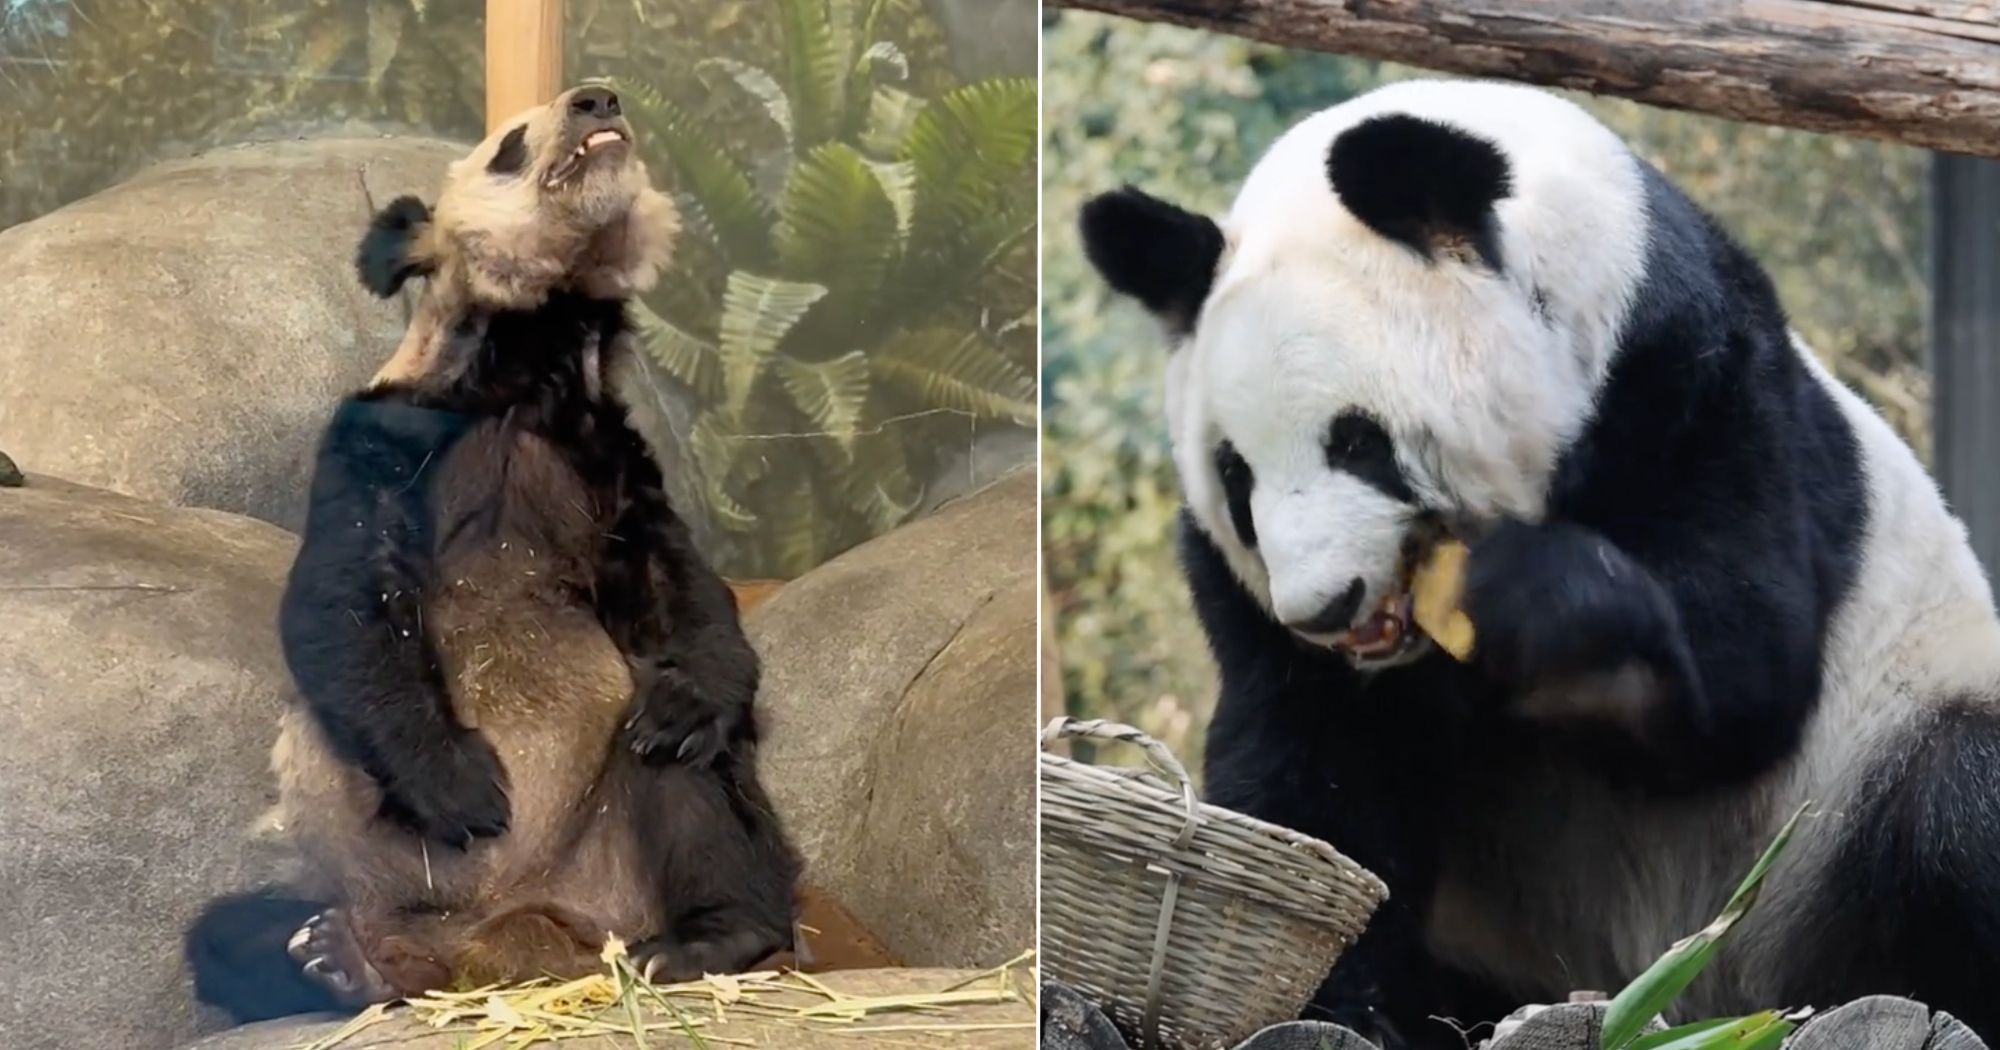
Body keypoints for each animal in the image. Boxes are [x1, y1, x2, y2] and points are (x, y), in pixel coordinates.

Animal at [188, 84, 799, 1018]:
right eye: (509, 143)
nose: (597, 97)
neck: (532, 362)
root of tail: (516, 932)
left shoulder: (608, 457)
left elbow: (679, 585)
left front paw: (696, 691)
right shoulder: (384, 433)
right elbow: (340, 603)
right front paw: (463, 787)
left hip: (618, 841)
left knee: (693, 775)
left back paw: (709, 934)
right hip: (378, 874)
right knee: (230, 936)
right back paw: (343, 962)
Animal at [1079, 78, 2000, 1047]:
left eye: (1358, 441)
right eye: (1235, 477)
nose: (1323, 609)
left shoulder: (1695, 383)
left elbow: (1745, 677)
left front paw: (1531, 602)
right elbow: (1315, 759)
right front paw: (1338, 997)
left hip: (1855, 788)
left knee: (1957, 793)